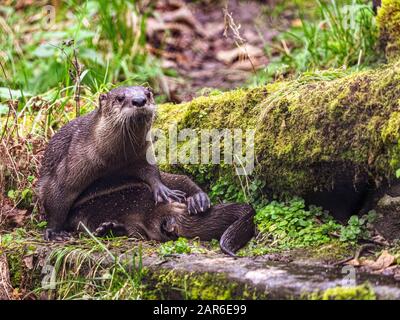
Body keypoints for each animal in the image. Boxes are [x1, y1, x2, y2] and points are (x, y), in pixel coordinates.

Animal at [38, 86, 209, 241]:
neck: (112, 159)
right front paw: (53, 232)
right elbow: (56, 197)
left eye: (148, 94)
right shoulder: (71, 164)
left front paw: (163, 191)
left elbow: (152, 172)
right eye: (120, 98)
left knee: (183, 179)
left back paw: (198, 199)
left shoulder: (143, 155)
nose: (139, 101)